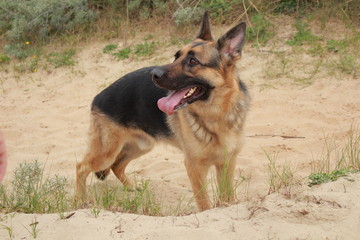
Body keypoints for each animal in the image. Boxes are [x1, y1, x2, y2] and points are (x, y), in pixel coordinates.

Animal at [76, 11, 250, 210]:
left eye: (193, 61)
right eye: (176, 56)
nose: (154, 74)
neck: (216, 116)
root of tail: (97, 97)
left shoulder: (227, 163)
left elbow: (227, 197)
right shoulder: (195, 167)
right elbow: (205, 204)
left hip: (141, 146)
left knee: (116, 165)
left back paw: (131, 187)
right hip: (106, 153)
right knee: (81, 167)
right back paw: (79, 200)